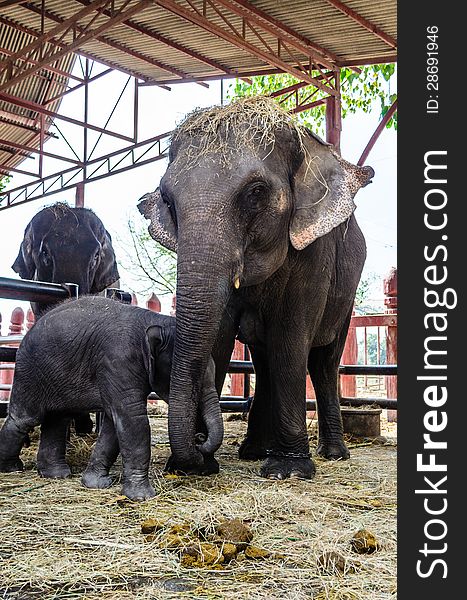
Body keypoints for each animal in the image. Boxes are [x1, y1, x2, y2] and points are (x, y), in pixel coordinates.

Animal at [140, 99, 376, 482]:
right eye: (168, 200)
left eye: (255, 193)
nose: (200, 442)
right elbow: (220, 337)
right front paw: (193, 466)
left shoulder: (315, 253)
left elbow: (291, 338)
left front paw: (289, 471)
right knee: (265, 361)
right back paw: (253, 451)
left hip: (347, 299)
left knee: (323, 362)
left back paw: (333, 454)